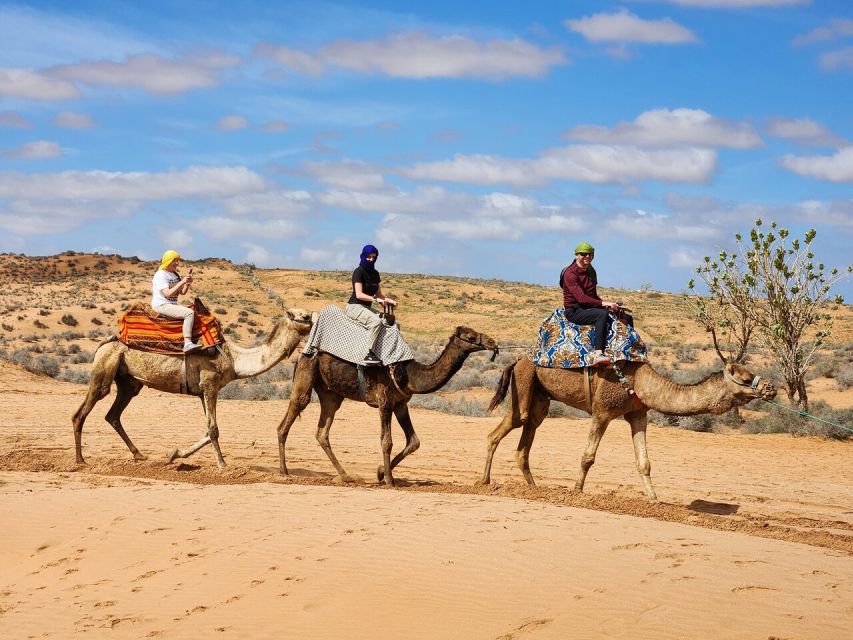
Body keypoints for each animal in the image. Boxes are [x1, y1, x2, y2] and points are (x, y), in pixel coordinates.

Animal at [70, 308, 310, 468]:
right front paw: (222, 464)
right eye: (304, 316)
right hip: (104, 369)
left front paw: (174, 454)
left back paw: (139, 455)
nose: (314, 317)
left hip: (129, 382)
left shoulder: (203, 391)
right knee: (82, 411)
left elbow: (208, 429)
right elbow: (213, 429)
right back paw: (81, 460)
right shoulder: (210, 384)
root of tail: (104, 343)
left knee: (113, 415)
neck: (234, 359)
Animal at [276, 328, 496, 488]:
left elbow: (414, 441)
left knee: (322, 432)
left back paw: (346, 476)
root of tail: (302, 355)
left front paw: (381, 471)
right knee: (288, 419)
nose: (492, 342)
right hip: (306, 375)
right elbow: (386, 442)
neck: (410, 375)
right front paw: (389, 480)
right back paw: (284, 471)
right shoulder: (385, 403)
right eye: (470, 336)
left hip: (331, 395)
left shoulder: (400, 404)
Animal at [482, 356, 776, 500]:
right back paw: (484, 482)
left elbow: (644, 462)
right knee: (505, 428)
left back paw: (534, 489)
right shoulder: (602, 411)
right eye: (745, 378)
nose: (771, 388)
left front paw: (654, 499)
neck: (642, 382)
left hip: (541, 398)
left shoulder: (638, 415)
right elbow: (588, 456)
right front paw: (577, 491)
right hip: (524, 383)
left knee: (525, 436)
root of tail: (517, 360)